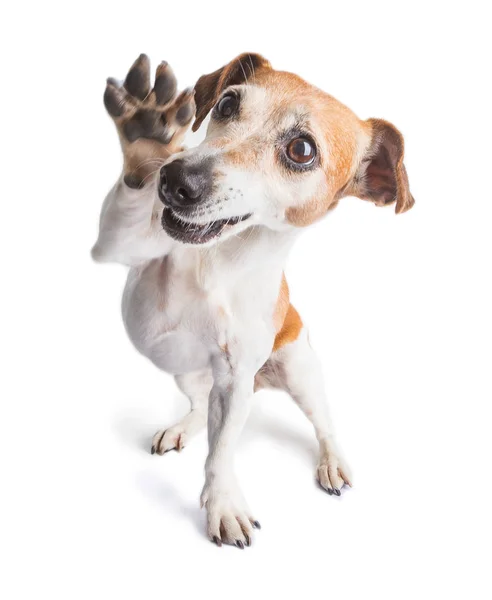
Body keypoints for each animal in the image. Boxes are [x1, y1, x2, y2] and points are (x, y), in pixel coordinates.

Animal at [92, 52, 416, 548]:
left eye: (302, 149)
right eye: (227, 104)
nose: (176, 178)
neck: (219, 259)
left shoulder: (233, 378)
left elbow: (221, 453)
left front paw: (223, 504)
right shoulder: (116, 246)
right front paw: (146, 137)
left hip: (299, 371)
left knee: (323, 422)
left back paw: (332, 462)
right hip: (188, 374)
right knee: (197, 406)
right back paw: (181, 428)